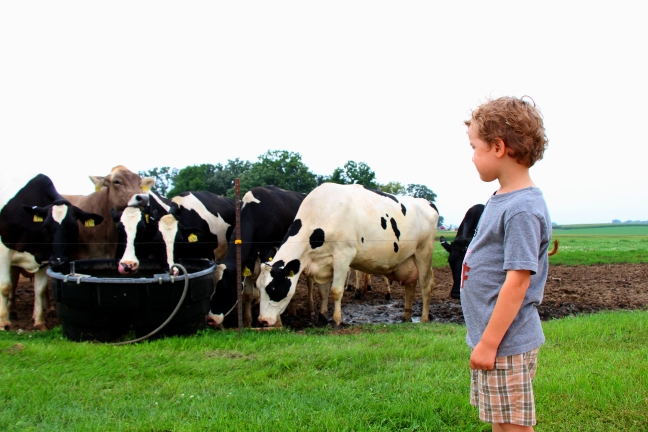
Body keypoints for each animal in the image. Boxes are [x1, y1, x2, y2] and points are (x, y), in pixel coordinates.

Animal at [0, 173, 104, 329]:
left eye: (73, 227)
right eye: (46, 226)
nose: (59, 262)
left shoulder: (46, 257)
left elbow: (40, 289)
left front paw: (39, 322)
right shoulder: (3, 253)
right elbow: (5, 286)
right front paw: (4, 323)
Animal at [210, 185, 330, 328]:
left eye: (225, 288)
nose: (211, 319)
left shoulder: (271, 249)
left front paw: (277, 322)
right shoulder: (251, 258)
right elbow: (248, 293)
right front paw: (247, 322)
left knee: (309, 281)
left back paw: (310, 308)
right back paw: (292, 309)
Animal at [256, 183, 439, 328]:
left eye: (272, 288)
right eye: (258, 287)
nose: (262, 321)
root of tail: (426, 202)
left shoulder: (343, 257)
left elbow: (336, 291)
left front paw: (337, 320)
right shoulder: (323, 263)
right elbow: (323, 292)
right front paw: (322, 317)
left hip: (424, 252)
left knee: (425, 285)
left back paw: (424, 318)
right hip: (408, 259)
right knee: (410, 286)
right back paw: (406, 316)